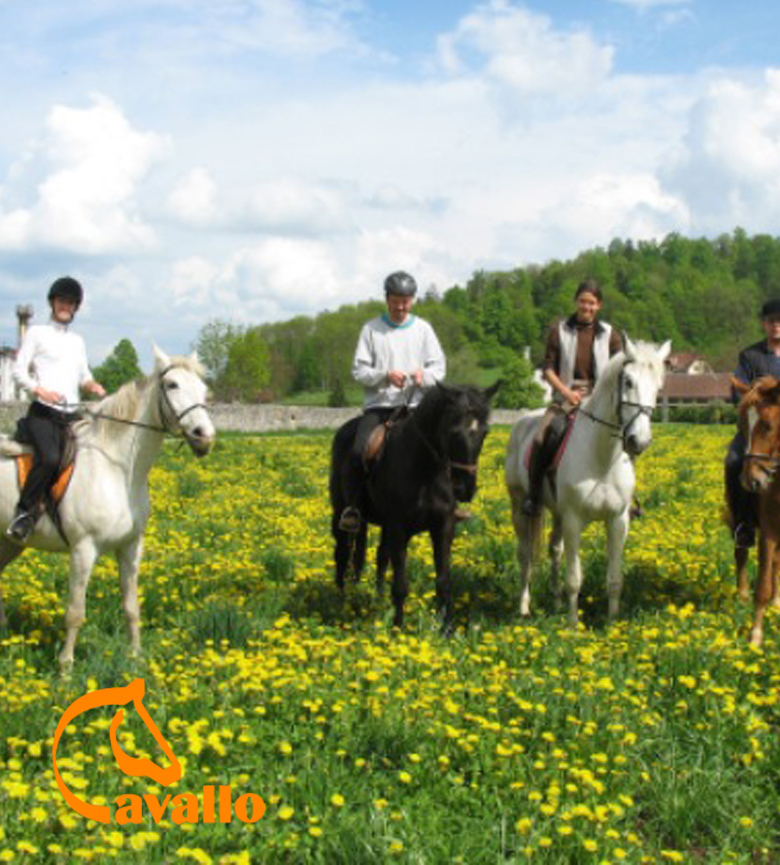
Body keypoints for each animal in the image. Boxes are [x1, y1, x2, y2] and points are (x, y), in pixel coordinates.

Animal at [0, 348, 213, 672]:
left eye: (202, 388)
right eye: (172, 384)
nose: (205, 436)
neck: (117, 468)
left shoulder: (130, 546)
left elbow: (131, 606)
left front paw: (136, 657)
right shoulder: (83, 549)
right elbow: (75, 612)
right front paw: (65, 669)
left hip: (9, 542)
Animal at [330, 384, 500, 628]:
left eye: (485, 432)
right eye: (454, 432)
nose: (464, 489)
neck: (424, 470)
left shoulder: (443, 526)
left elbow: (444, 581)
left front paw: (446, 628)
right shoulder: (398, 528)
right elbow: (400, 584)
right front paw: (398, 628)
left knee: (379, 556)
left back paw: (378, 600)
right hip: (342, 512)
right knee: (343, 553)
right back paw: (341, 598)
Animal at [506, 338, 672, 628]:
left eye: (658, 386)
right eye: (628, 381)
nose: (638, 441)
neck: (602, 459)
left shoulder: (617, 521)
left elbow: (615, 580)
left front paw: (612, 624)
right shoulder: (574, 520)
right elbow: (575, 579)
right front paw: (573, 625)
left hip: (557, 513)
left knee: (554, 549)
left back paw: (556, 601)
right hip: (520, 507)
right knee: (525, 553)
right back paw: (524, 607)